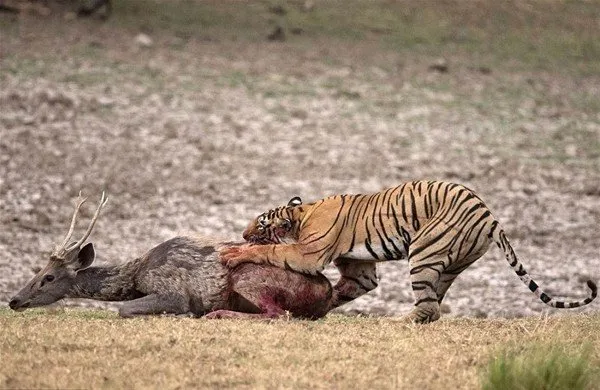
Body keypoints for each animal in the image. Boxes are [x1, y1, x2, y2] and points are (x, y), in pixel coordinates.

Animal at [9, 193, 336, 318]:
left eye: (48, 277)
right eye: (38, 270)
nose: (13, 300)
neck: (136, 276)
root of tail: (328, 290)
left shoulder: (173, 291)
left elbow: (124, 309)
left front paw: (186, 313)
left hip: (249, 279)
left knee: (279, 315)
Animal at [219, 180, 596, 322]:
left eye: (259, 226)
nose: (243, 232)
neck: (301, 215)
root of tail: (492, 217)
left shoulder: (307, 254)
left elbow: (270, 253)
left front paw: (233, 253)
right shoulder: (361, 271)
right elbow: (345, 290)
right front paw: (320, 307)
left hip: (424, 252)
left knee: (428, 307)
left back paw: (395, 322)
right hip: (449, 265)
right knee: (434, 305)